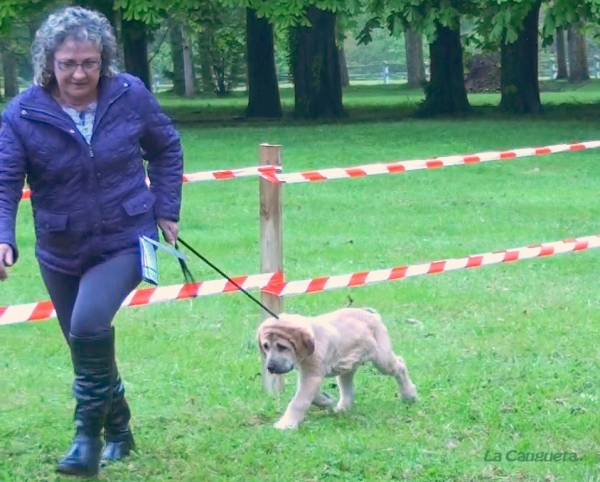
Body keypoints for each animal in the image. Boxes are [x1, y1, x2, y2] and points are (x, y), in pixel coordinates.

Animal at [258, 306, 418, 428]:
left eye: (282, 347)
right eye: (266, 347)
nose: (270, 367)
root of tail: (372, 315)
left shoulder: (311, 375)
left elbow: (299, 401)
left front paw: (286, 424)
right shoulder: (309, 374)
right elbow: (310, 395)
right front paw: (326, 400)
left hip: (382, 359)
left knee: (400, 365)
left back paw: (409, 394)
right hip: (347, 365)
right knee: (347, 388)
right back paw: (342, 409)